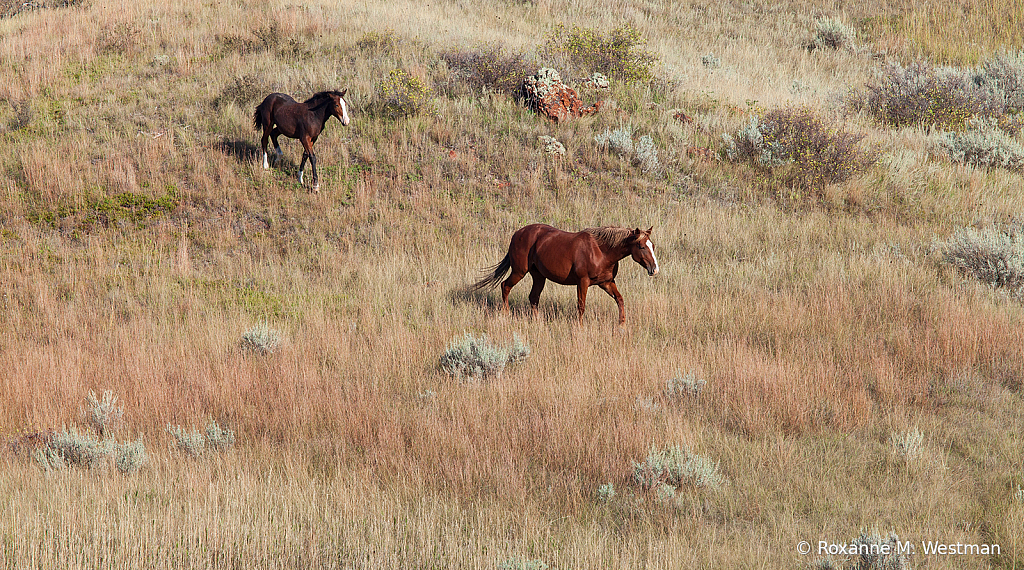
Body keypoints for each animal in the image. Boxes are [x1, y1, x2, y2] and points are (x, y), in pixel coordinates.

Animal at [473, 224, 659, 327]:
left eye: (653, 246)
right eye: (641, 246)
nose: (654, 269)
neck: (601, 251)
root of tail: (517, 234)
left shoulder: (606, 282)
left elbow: (620, 300)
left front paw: (622, 325)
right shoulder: (582, 282)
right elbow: (581, 306)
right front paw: (580, 327)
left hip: (538, 276)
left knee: (533, 297)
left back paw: (537, 321)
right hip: (519, 271)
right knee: (505, 286)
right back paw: (506, 314)